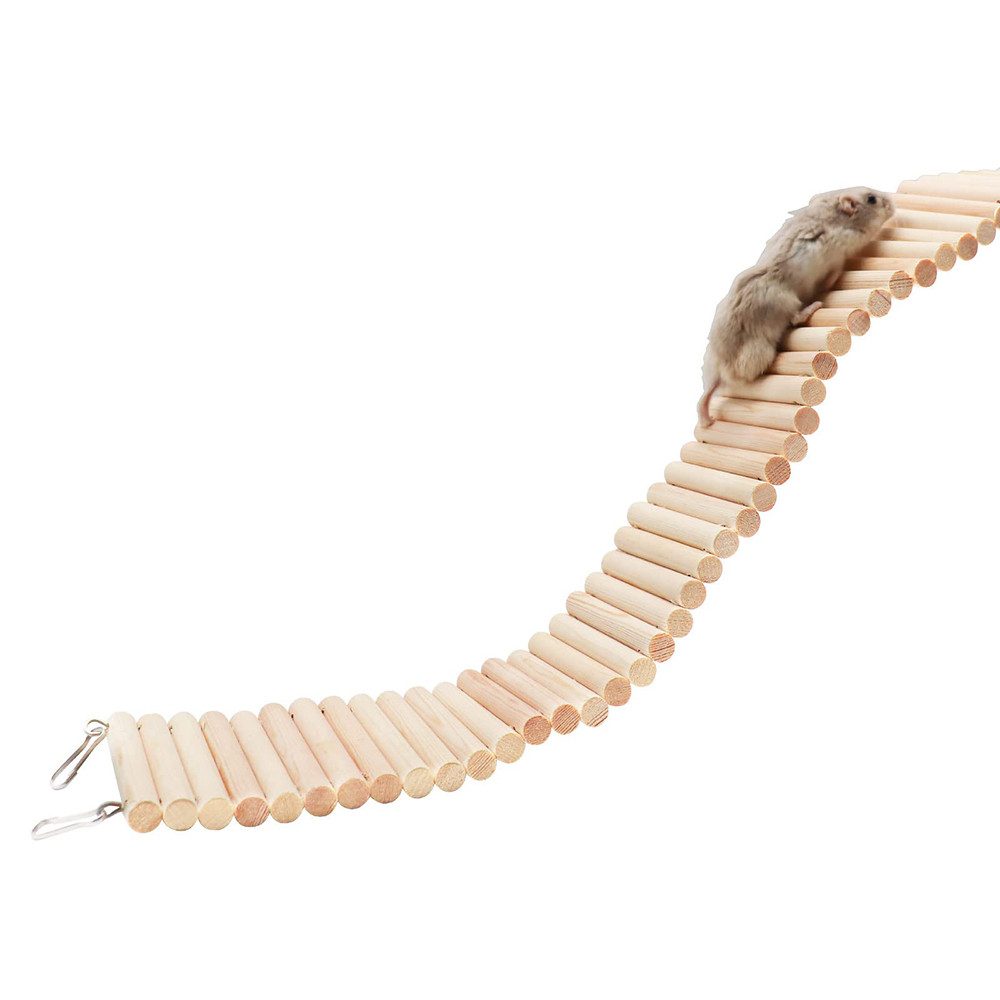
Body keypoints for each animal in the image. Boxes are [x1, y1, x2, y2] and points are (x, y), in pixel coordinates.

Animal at [697, 187, 894, 427]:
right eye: (872, 199)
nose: (893, 203)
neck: (832, 216)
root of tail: (719, 371)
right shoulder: (838, 256)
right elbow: (835, 273)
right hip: (784, 304)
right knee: (795, 318)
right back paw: (814, 305)